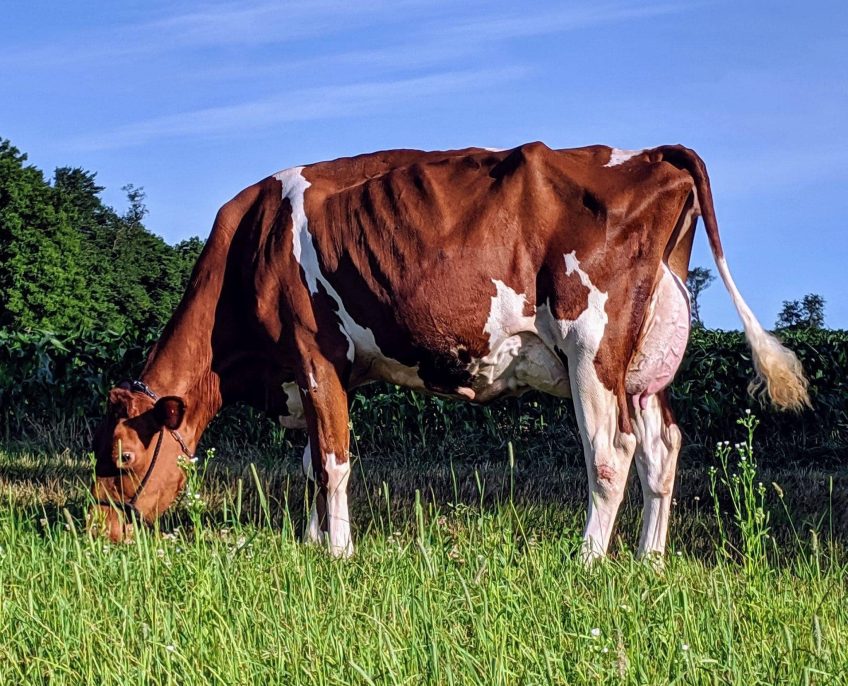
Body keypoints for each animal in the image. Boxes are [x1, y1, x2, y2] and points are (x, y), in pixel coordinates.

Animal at [89, 142, 812, 560]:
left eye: (123, 457)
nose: (101, 535)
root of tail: (652, 154)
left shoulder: (316, 356)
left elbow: (332, 463)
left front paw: (338, 552)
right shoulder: (313, 374)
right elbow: (310, 463)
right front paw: (312, 539)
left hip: (592, 344)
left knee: (613, 454)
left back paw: (587, 560)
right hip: (641, 360)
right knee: (663, 449)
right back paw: (648, 560)